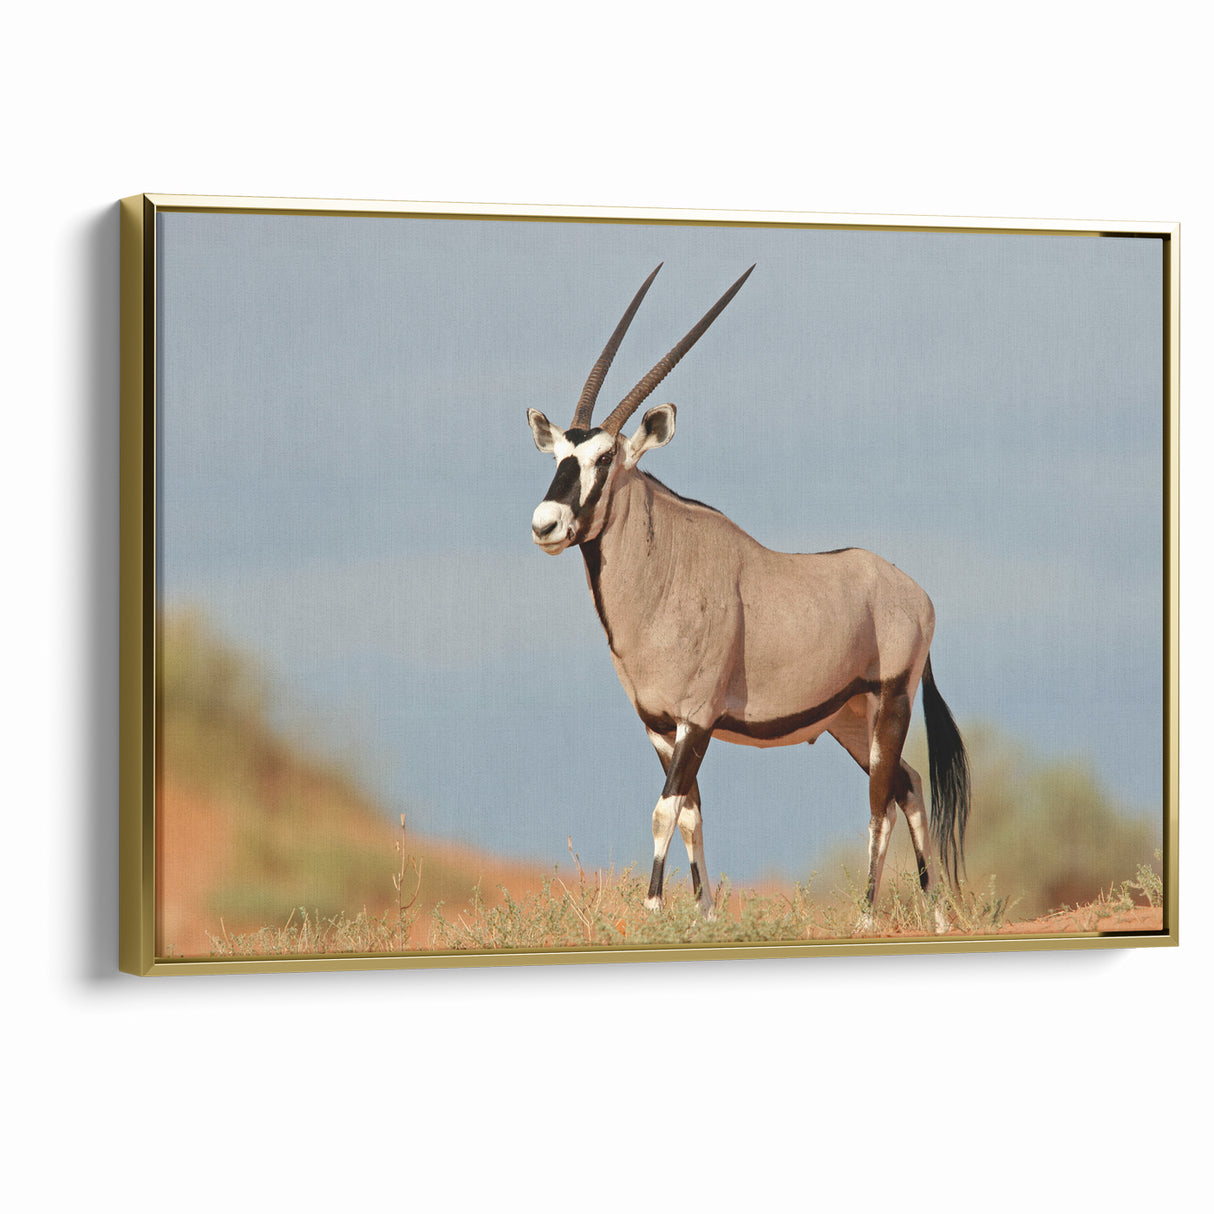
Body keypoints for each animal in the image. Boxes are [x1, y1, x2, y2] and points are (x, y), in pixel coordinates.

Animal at [527, 264, 970, 931]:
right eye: (557, 455)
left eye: (604, 458)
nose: (546, 524)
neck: (664, 570)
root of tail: (913, 592)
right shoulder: (659, 725)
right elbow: (689, 811)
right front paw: (703, 915)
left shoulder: (698, 717)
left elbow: (664, 809)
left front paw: (654, 909)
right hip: (848, 718)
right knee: (909, 784)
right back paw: (936, 916)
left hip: (891, 700)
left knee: (881, 800)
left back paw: (868, 917)